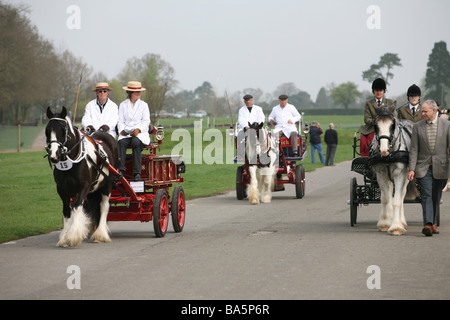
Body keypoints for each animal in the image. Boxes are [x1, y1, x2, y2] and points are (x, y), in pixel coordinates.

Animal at [45, 106, 118, 246]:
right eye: (47, 130)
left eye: (63, 130)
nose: (54, 155)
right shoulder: (62, 189)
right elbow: (67, 211)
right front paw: (64, 237)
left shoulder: (84, 187)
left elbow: (77, 206)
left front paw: (73, 235)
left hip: (107, 184)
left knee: (104, 207)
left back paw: (100, 234)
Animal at [370, 102, 418, 235]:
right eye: (375, 125)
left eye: (392, 124)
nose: (384, 150)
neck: (389, 156)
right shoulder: (381, 174)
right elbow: (385, 199)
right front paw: (385, 223)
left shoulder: (399, 173)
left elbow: (397, 200)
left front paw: (396, 226)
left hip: (407, 176)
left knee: (401, 196)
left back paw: (402, 221)